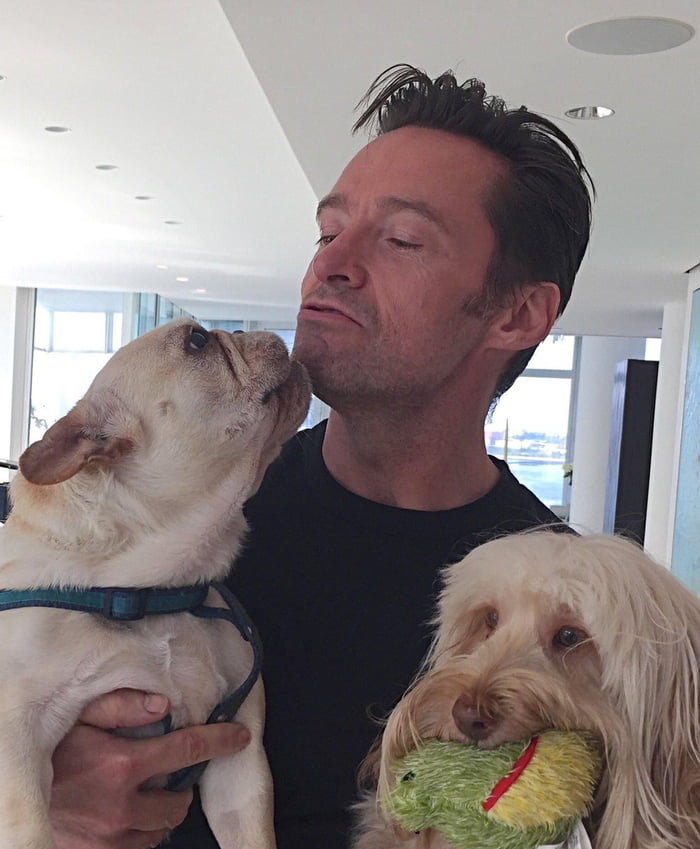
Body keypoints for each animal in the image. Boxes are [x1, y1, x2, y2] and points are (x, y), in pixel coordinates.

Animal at [0, 318, 310, 849]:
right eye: (197, 341)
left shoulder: (240, 765)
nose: (238, 329)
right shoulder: (16, 740)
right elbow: (33, 832)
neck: (148, 591)